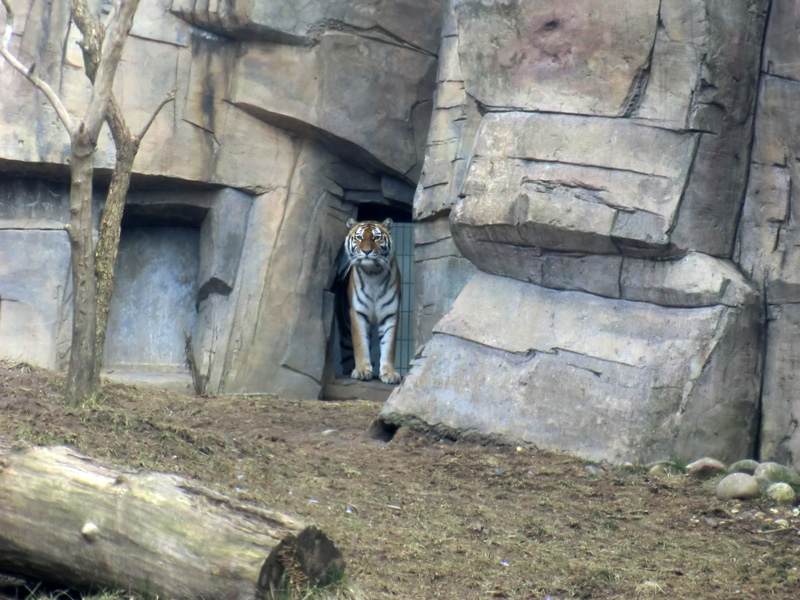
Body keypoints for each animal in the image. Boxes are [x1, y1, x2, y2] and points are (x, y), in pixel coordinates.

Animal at [336, 219, 404, 384]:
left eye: (376, 238)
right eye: (359, 238)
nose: (366, 251)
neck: (373, 273)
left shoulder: (390, 314)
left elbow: (389, 345)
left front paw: (389, 373)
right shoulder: (358, 314)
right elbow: (360, 344)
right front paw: (361, 371)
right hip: (345, 331)